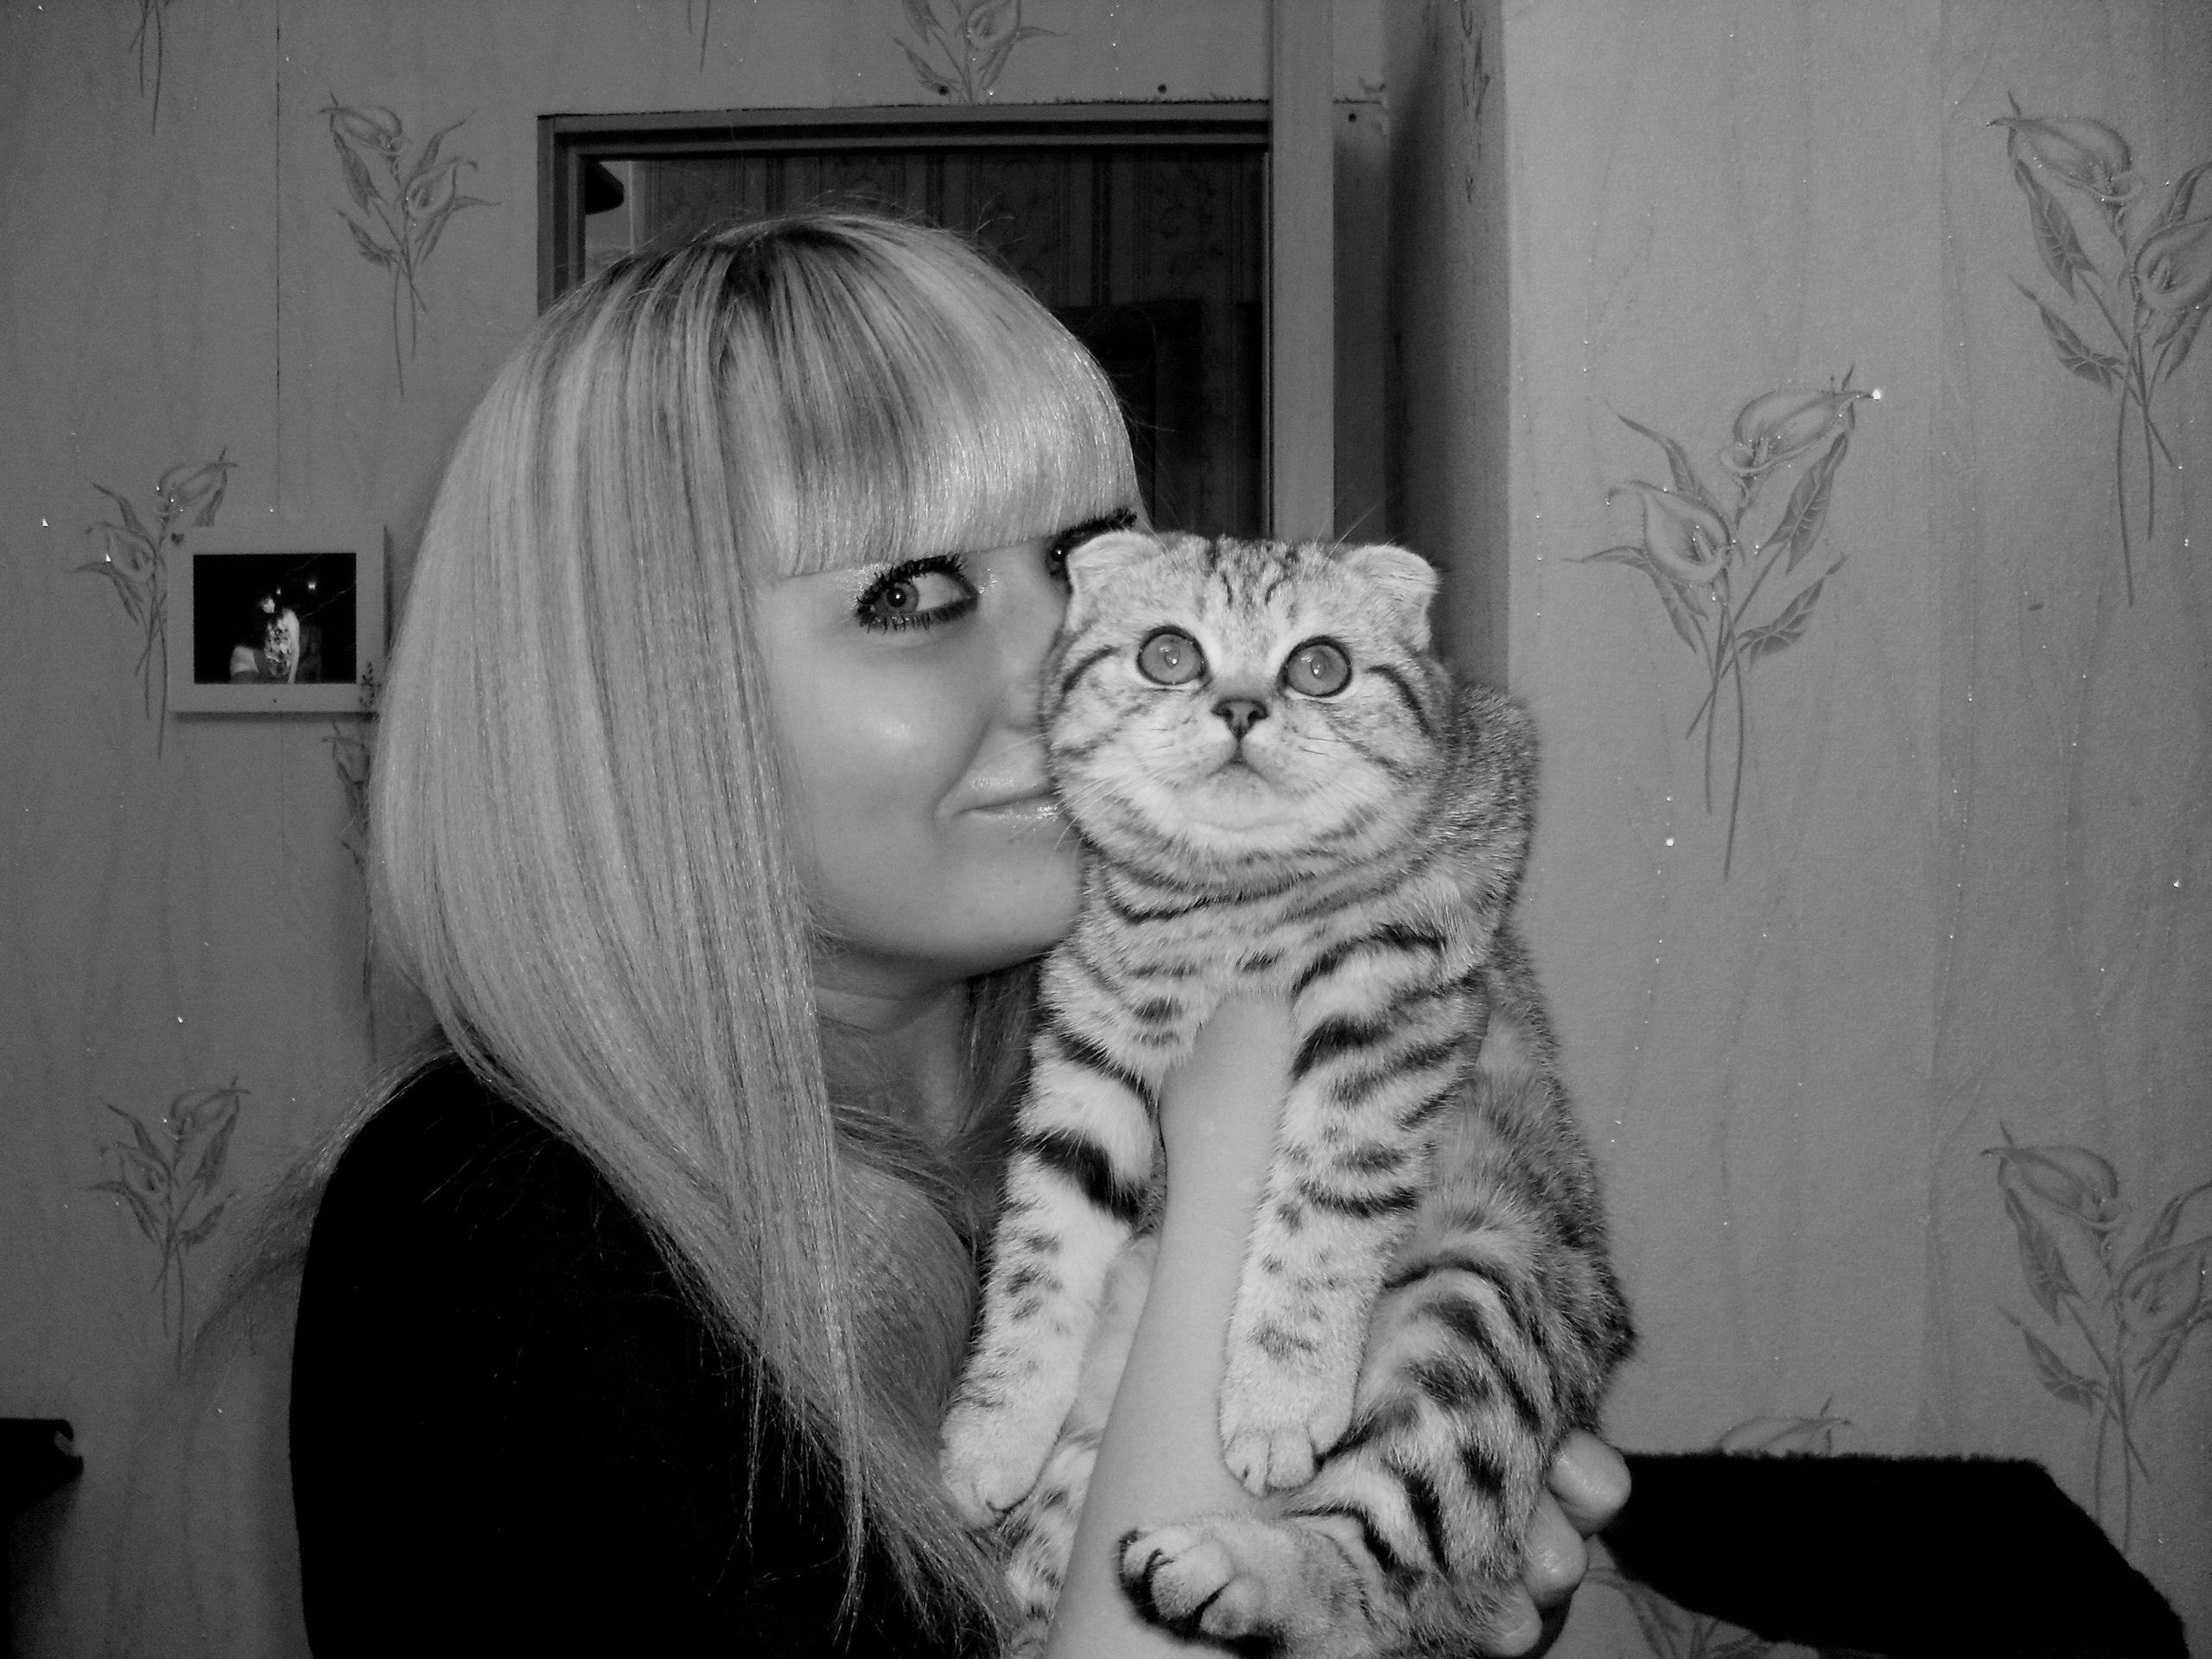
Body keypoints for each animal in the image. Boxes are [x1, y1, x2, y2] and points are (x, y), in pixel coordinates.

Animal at [939, 529, 1633, 1656]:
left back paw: (1233, 1568)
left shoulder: (1392, 990)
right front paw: (992, 1432)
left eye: (1319, 667)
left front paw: (1277, 1397)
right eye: (1170, 654)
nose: (1238, 707)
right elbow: (1038, 1252)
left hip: (1484, 1296)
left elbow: (1325, 1204)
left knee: (1389, 1565)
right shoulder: (1088, 1050)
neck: (1223, 905)